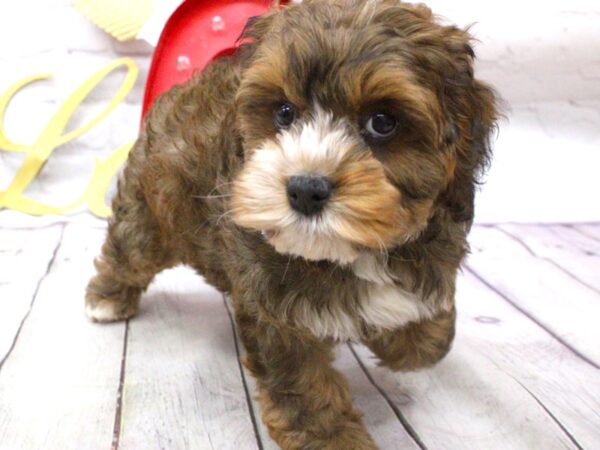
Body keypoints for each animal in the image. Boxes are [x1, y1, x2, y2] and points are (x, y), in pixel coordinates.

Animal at [84, 1, 496, 448]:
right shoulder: (275, 312)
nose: (305, 189)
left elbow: (426, 338)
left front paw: (406, 340)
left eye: (382, 122)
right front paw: (333, 438)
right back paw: (107, 299)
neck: (347, 254)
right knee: (129, 250)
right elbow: (304, 384)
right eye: (283, 112)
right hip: (151, 212)